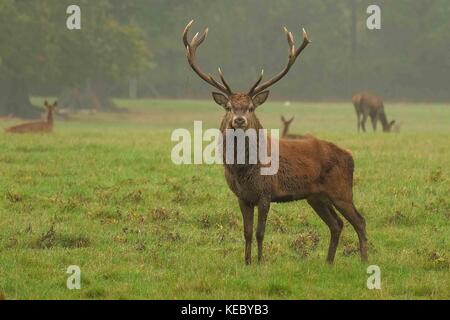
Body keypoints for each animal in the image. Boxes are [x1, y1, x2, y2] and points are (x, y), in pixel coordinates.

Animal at [183, 20, 370, 264]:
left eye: (251, 107)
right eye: (229, 107)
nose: (239, 120)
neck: (243, 170)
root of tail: (350, 155)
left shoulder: (266, 193)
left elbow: (260, 232)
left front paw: (260, 262)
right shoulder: (242, 197)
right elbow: (246, 232)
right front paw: (247, 262)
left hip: (342, 191)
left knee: (360, 221)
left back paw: (364, 261)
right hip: (316, 196)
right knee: (336, 224)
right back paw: (328, 263)